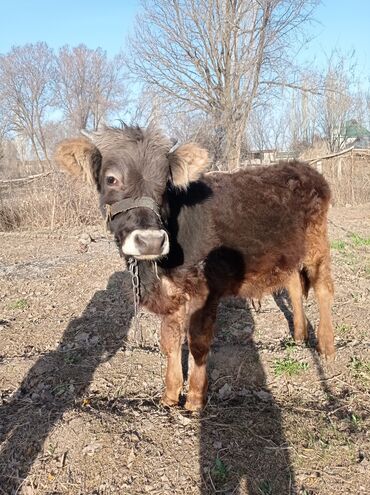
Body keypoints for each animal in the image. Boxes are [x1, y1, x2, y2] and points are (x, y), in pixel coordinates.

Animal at [55, 124, 336, 410]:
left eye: (166, 183)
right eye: (112, 179)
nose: (150, 240)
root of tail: (301, 166)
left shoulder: (204, 289)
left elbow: (198, 341)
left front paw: (194, 399)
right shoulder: (170, 292)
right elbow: (170, 341)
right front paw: (169, 395)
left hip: (317, 243)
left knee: (323, 289)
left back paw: (326, 346)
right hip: (286, 250)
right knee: (293, 284)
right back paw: (299, 335)